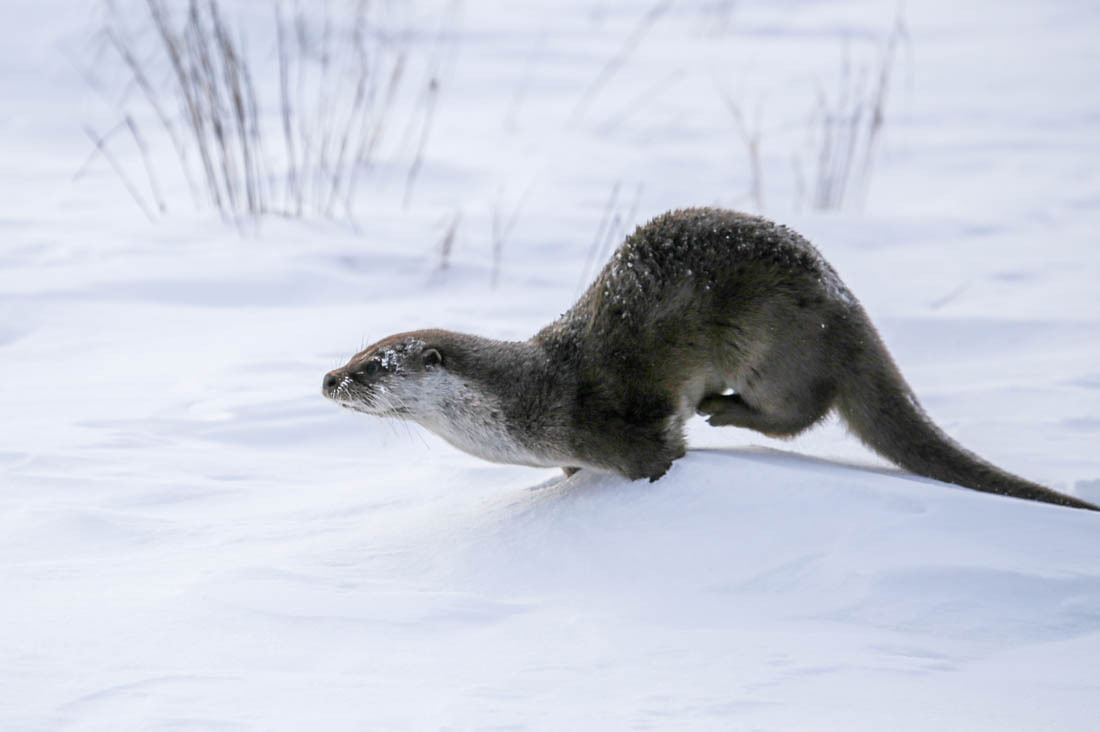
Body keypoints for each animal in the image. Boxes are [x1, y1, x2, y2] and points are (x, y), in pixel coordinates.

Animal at [321, 208, 1095, 510]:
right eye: (356, 352)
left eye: (374, 365)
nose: (329, 377)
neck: (530, 404)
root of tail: (845, 307)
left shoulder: (622, 430)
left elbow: (661, 455)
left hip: (774, 342)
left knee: (801, 410)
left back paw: (722, 409)